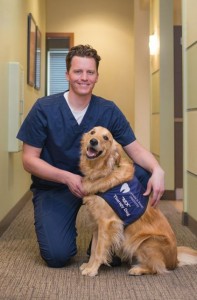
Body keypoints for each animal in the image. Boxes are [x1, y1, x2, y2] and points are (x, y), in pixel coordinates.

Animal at [79, 125, 197, 276]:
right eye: (92, 132)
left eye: (106, 137)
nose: (93, 141)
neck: (103, 172)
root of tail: (175, 259)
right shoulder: (96, 223)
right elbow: (94, 248)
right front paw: (89, 265)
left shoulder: (107, 223)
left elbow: (99, 249)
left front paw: (93, 269)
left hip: (145, 242)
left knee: (157, 268)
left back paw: (137, 269)